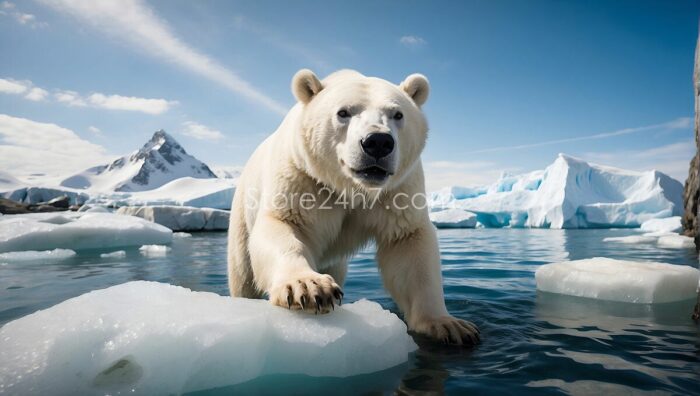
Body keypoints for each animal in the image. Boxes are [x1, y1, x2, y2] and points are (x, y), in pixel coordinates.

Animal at [230, 69, 482, 344]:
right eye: (343, 112)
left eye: (398, 114)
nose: (378, 142)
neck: (351, 188)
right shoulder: (302, 176)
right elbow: (283, 223)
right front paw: (308, 287)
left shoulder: (397, 190)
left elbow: (408, 245)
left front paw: (449, 325)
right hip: (242, 212)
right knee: (243, 273)